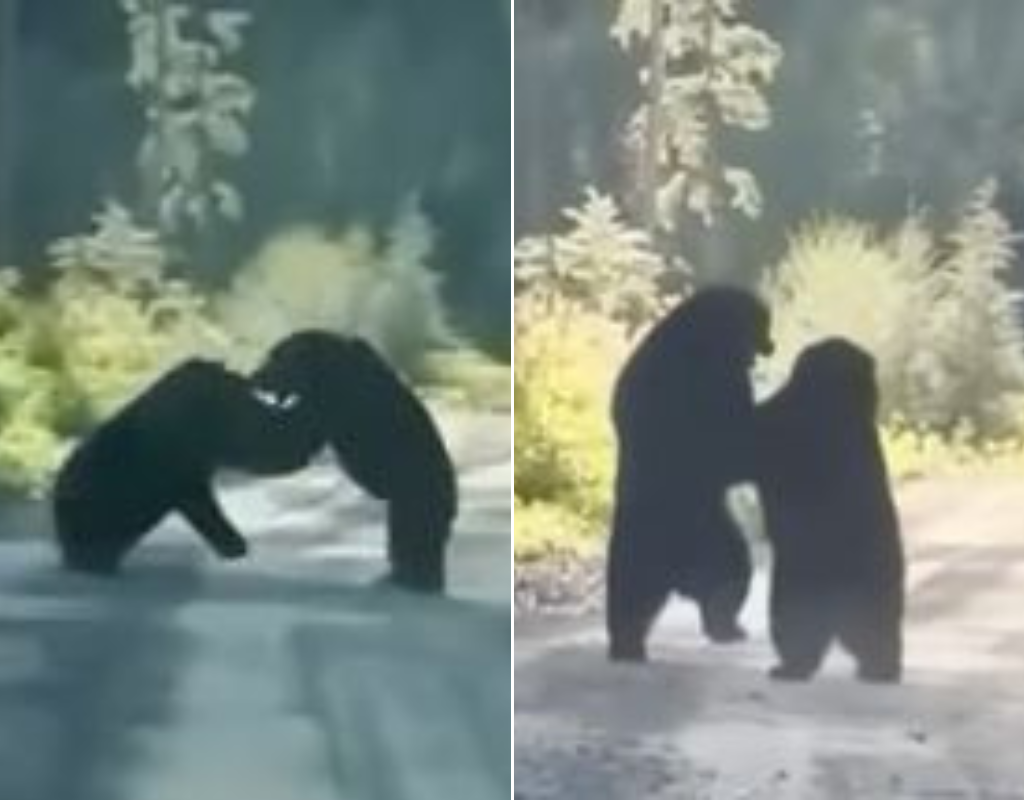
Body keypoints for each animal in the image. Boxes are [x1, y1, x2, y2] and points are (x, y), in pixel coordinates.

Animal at [250, 330, 458, 595]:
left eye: (275, 358)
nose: (255, 374)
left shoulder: (330, 400)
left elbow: (297, 438)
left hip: (417, 494)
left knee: (411, 533)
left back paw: (414, 579)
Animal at [606, 286, 774, 662]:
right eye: (762, 324)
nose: (772, 345)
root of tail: (678, 576)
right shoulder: (713, 376)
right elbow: (732, 444)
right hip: (655, 533)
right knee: (635, 585)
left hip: (703, 536)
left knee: (729, 574)